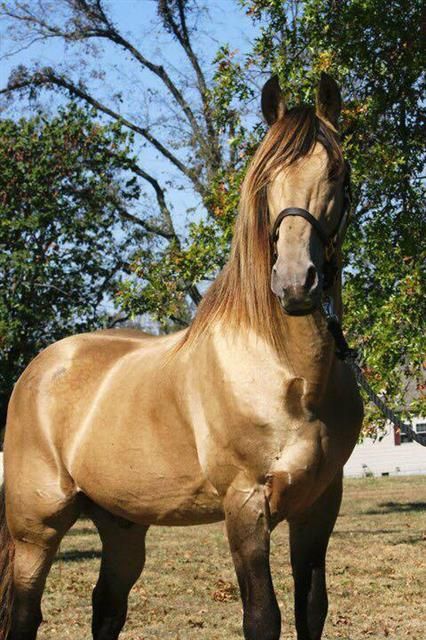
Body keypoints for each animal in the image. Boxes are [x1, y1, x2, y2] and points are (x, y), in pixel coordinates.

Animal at [0, 75, 362, 640]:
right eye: (266, 179)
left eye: (338, 173)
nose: (294, 283)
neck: (291, 374)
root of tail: (38, 369)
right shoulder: (245, 505)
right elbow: (263, 618)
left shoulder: (320, 506)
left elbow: (311, 610)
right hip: (36, 527)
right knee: (23, 614)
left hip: (122, 525)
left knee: (107, 608)